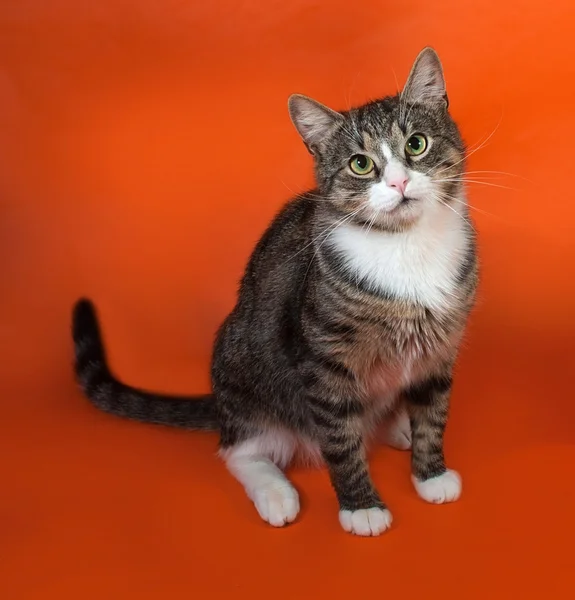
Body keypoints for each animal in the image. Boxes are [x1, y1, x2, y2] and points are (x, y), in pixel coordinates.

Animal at [73, 47, 476, 536]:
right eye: (360, 164)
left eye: (417, 144)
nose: (398, 183)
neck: (406, 246)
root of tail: (222, 403)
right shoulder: (323, 359)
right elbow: (340, 442)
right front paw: (361, 506)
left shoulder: (440, 347)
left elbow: (433, 414)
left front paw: (430, 473)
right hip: (246, 372)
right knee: (238, 451)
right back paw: (275, 492)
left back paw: (396, 425)